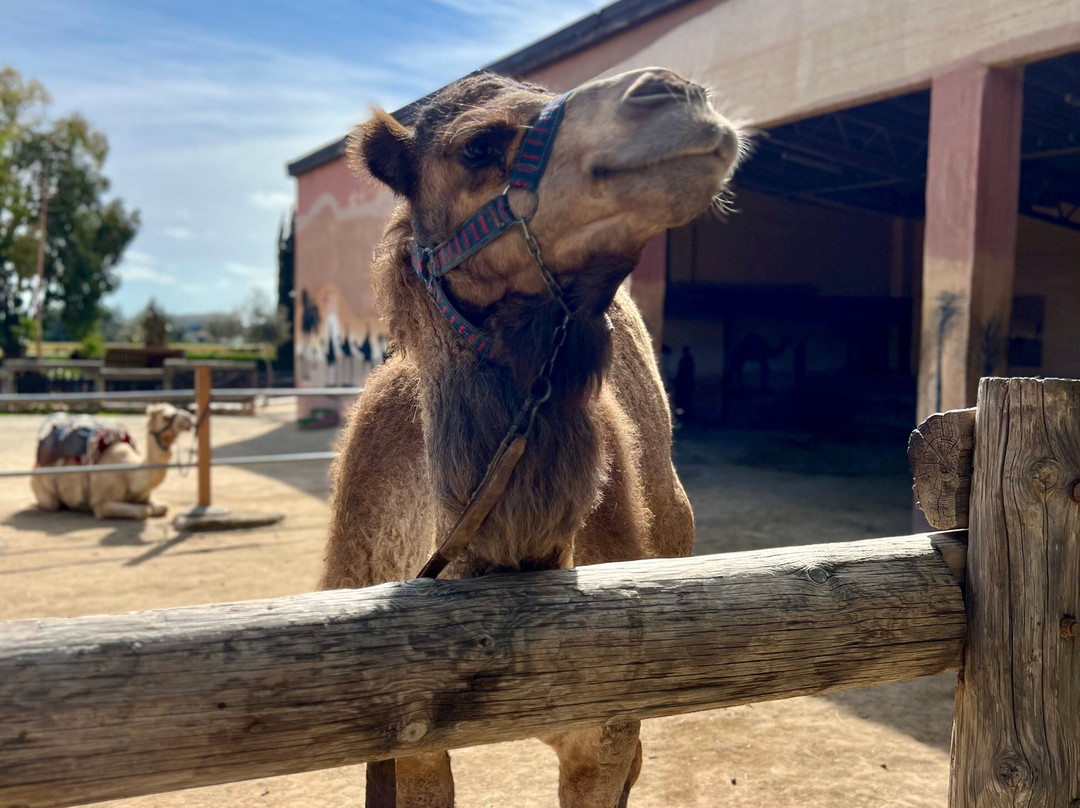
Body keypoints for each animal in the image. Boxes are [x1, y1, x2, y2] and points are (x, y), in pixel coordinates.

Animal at [31, 403, 194, 519]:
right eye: (166, 416)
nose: (190, 419)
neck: (131, 474)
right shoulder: (102, 503)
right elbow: (143, 511)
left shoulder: (144, 495)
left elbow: (162, 508)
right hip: (42, 489)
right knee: (52, 504)